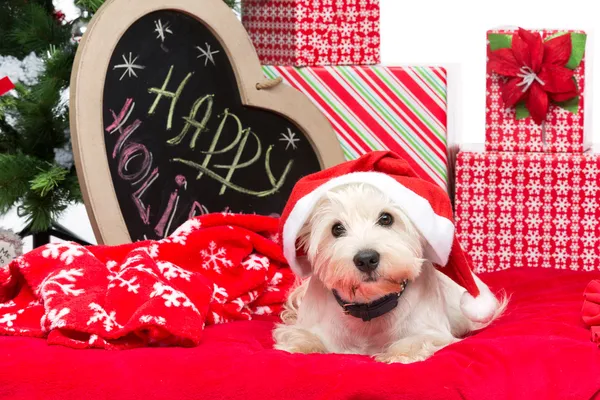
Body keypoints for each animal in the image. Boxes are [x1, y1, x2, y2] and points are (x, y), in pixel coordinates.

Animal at [274, 183, 506, 364]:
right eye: (336, 228)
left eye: (386, 218)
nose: (366, 259)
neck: (370, 309)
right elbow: (303, 336)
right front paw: (301, 345)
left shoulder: (434, 332)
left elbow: (417, 340)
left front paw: (397, 354)